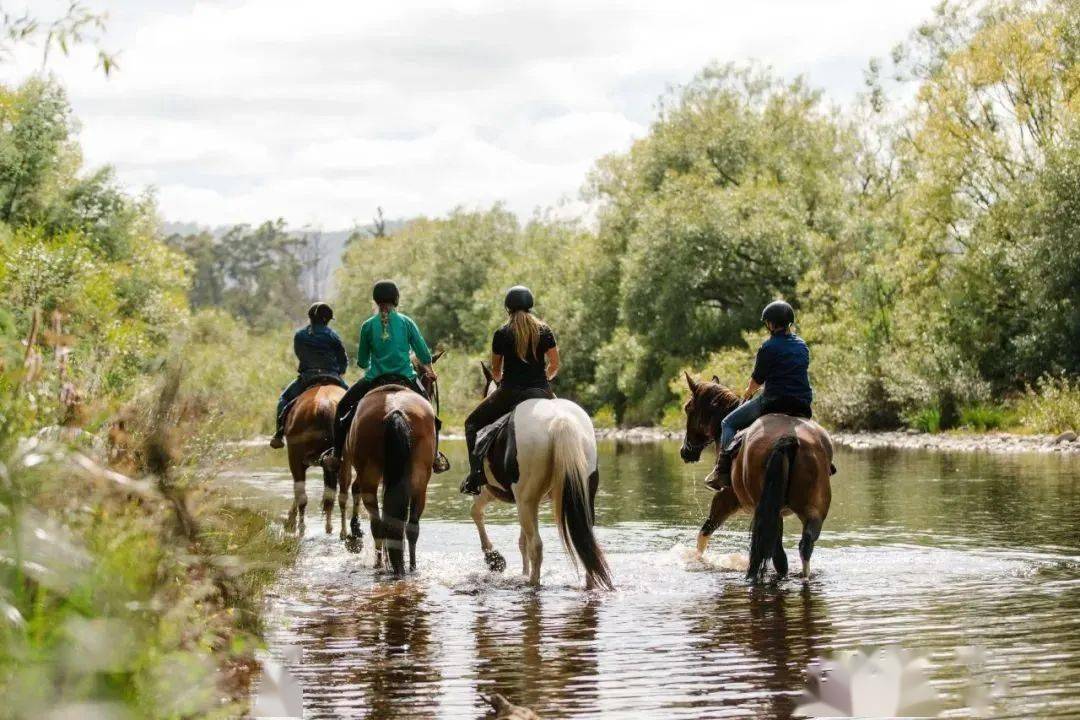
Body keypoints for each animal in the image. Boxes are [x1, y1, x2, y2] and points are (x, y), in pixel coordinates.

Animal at [282, 382, 345, 535]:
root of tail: (325, 405)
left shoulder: (297, 460)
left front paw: (291, 521)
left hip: (295, 457)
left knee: (302, 496)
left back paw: (301, 528)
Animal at [334, 354, 440, 574]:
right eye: (430, 380)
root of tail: (395, 411)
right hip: (419, 478)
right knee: (410, 525)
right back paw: (410, 566)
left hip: (370, 474)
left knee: (378, 522)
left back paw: (379, 563)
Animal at [468, 362, 613, 587]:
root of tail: (560, 421)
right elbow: (521, 542)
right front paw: (516, 569)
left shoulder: (489, 492)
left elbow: (476, 513)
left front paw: (494, 559)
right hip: (580, 495)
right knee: (586, 544)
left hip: (525, 500)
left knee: (536, 545)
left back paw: (532, 582)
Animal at [673, 375, 833, 582]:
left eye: (687, 408)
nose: (685, 451)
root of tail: (789, 437)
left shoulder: (727, 498)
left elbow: (704, 532)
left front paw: (698, 560)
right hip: (813, 511)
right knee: (804, 546)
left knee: (778, 555)